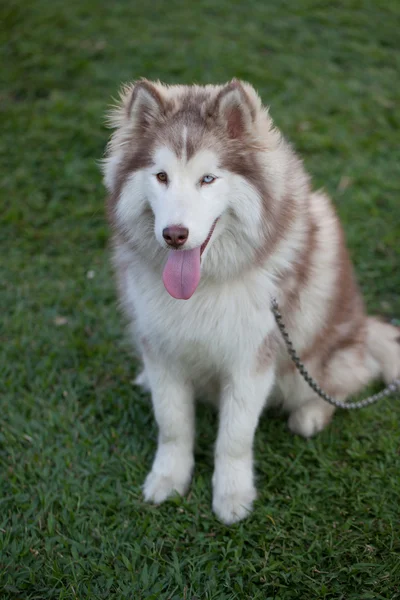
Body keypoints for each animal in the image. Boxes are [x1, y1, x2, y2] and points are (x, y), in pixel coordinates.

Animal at [101, 81, 400, 524]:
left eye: (208, 178)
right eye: (161, 176)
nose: (174, 234)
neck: (202, 288)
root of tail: (364, 327)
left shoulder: (252, 356)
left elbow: (235, 436)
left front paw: (232, 495)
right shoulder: (162, 349)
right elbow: (173, 424)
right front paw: (168, 478)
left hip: (315, 356)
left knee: (345, 380)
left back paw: (311, 414)